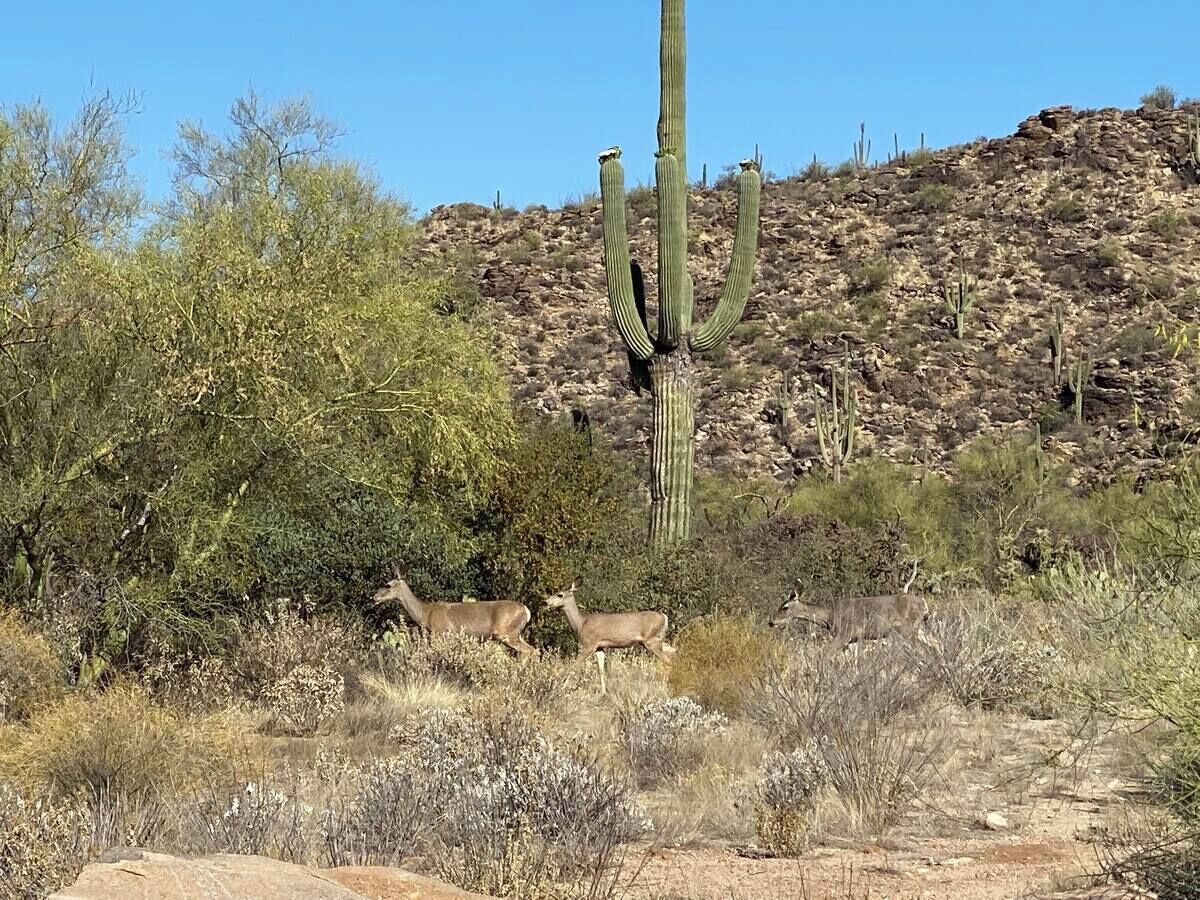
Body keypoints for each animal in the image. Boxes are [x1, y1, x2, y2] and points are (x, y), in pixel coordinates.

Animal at [373, 568, 536, 658]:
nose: (374, 597)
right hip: (515, 634)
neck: (426, 613)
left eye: (388, 585)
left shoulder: (440, 632)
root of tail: (526, 611)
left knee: (529, 651)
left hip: (507, 633)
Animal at [543, 582, 675, 695]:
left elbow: (575, 665)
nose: (546, 602)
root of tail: (664, 617)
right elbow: (601, 669)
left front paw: (561, 687)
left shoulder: (589, 644)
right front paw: (603, 692)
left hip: (651, 641)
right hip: (655, 641)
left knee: (668, 660)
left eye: (560, 594)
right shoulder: (599, 647)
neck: (581, 624)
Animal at [768, 560, 928, 649]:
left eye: (784, 607)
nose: (771, 622)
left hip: (907, 631)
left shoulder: (845, 634)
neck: (829, 615)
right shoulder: (852, 640)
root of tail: (923, 604)